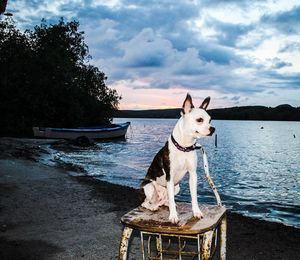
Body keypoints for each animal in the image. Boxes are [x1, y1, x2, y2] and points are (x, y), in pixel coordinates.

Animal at [141, 93, 216, 223]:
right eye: (200, 120)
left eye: (210, 120)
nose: (213, 129)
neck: (184, 147)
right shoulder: (170, 177)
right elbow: (172, 199)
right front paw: (173, 216)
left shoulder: (193, 175)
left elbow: (194, 197)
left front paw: (196, 212)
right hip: (149, 187)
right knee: (146, 203)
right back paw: (153, 207)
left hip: (177, 187)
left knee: (166, 200)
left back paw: (166, 204)